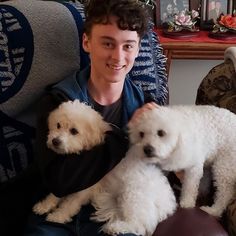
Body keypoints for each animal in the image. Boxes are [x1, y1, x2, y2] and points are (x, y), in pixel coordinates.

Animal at [33, 99, 177, 236]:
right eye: (58, 125)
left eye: (74, 131)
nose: (55, 141)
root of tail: (167, 203)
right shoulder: (68, 182)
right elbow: (55, 193)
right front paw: (44, 206)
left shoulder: (84, 190)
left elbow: (69, 205)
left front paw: (58, 216)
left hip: (133, 196)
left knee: (138, 225)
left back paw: (115, 228)